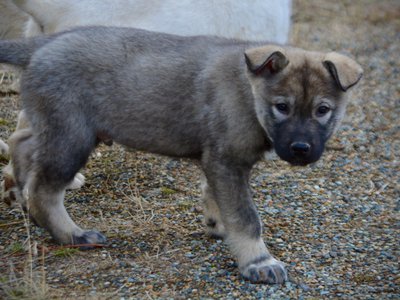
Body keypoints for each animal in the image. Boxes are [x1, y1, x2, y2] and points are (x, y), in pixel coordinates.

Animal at [0, 27, 362, 284]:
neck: (249, 93)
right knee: (45, 189)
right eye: (282, 107)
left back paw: (19, 194)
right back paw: (71, 234)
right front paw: (258, 261)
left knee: (22, 142)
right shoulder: (227, 161)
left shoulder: (221, 161)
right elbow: (246, 217)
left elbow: (215, 196)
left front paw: (218, 225)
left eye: (322, 110)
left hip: (56, 128)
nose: (301, 150)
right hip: (72, 137)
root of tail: (43, 44)